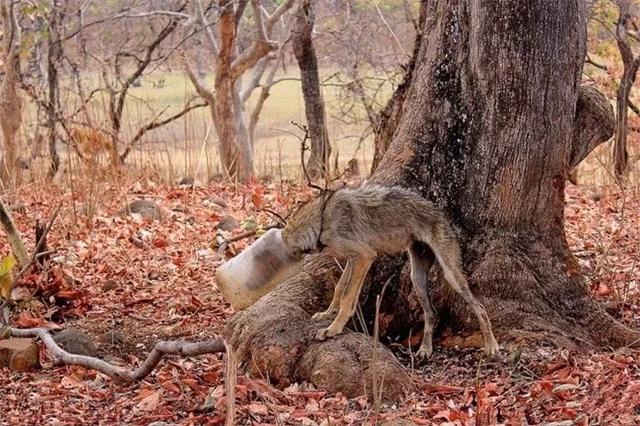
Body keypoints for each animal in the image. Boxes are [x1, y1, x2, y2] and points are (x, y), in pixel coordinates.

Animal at [284, 184, 500, 360]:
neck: (323, 216)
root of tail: (442, 214)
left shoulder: (364, 256)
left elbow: (347, 297)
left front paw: (333, 329)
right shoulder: (353, 259)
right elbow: (339, 288)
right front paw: (328, 314)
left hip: (451, 275)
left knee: (480, 308)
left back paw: (492, 346)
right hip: (417, 279)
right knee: (432, 314)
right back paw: (425, 350)